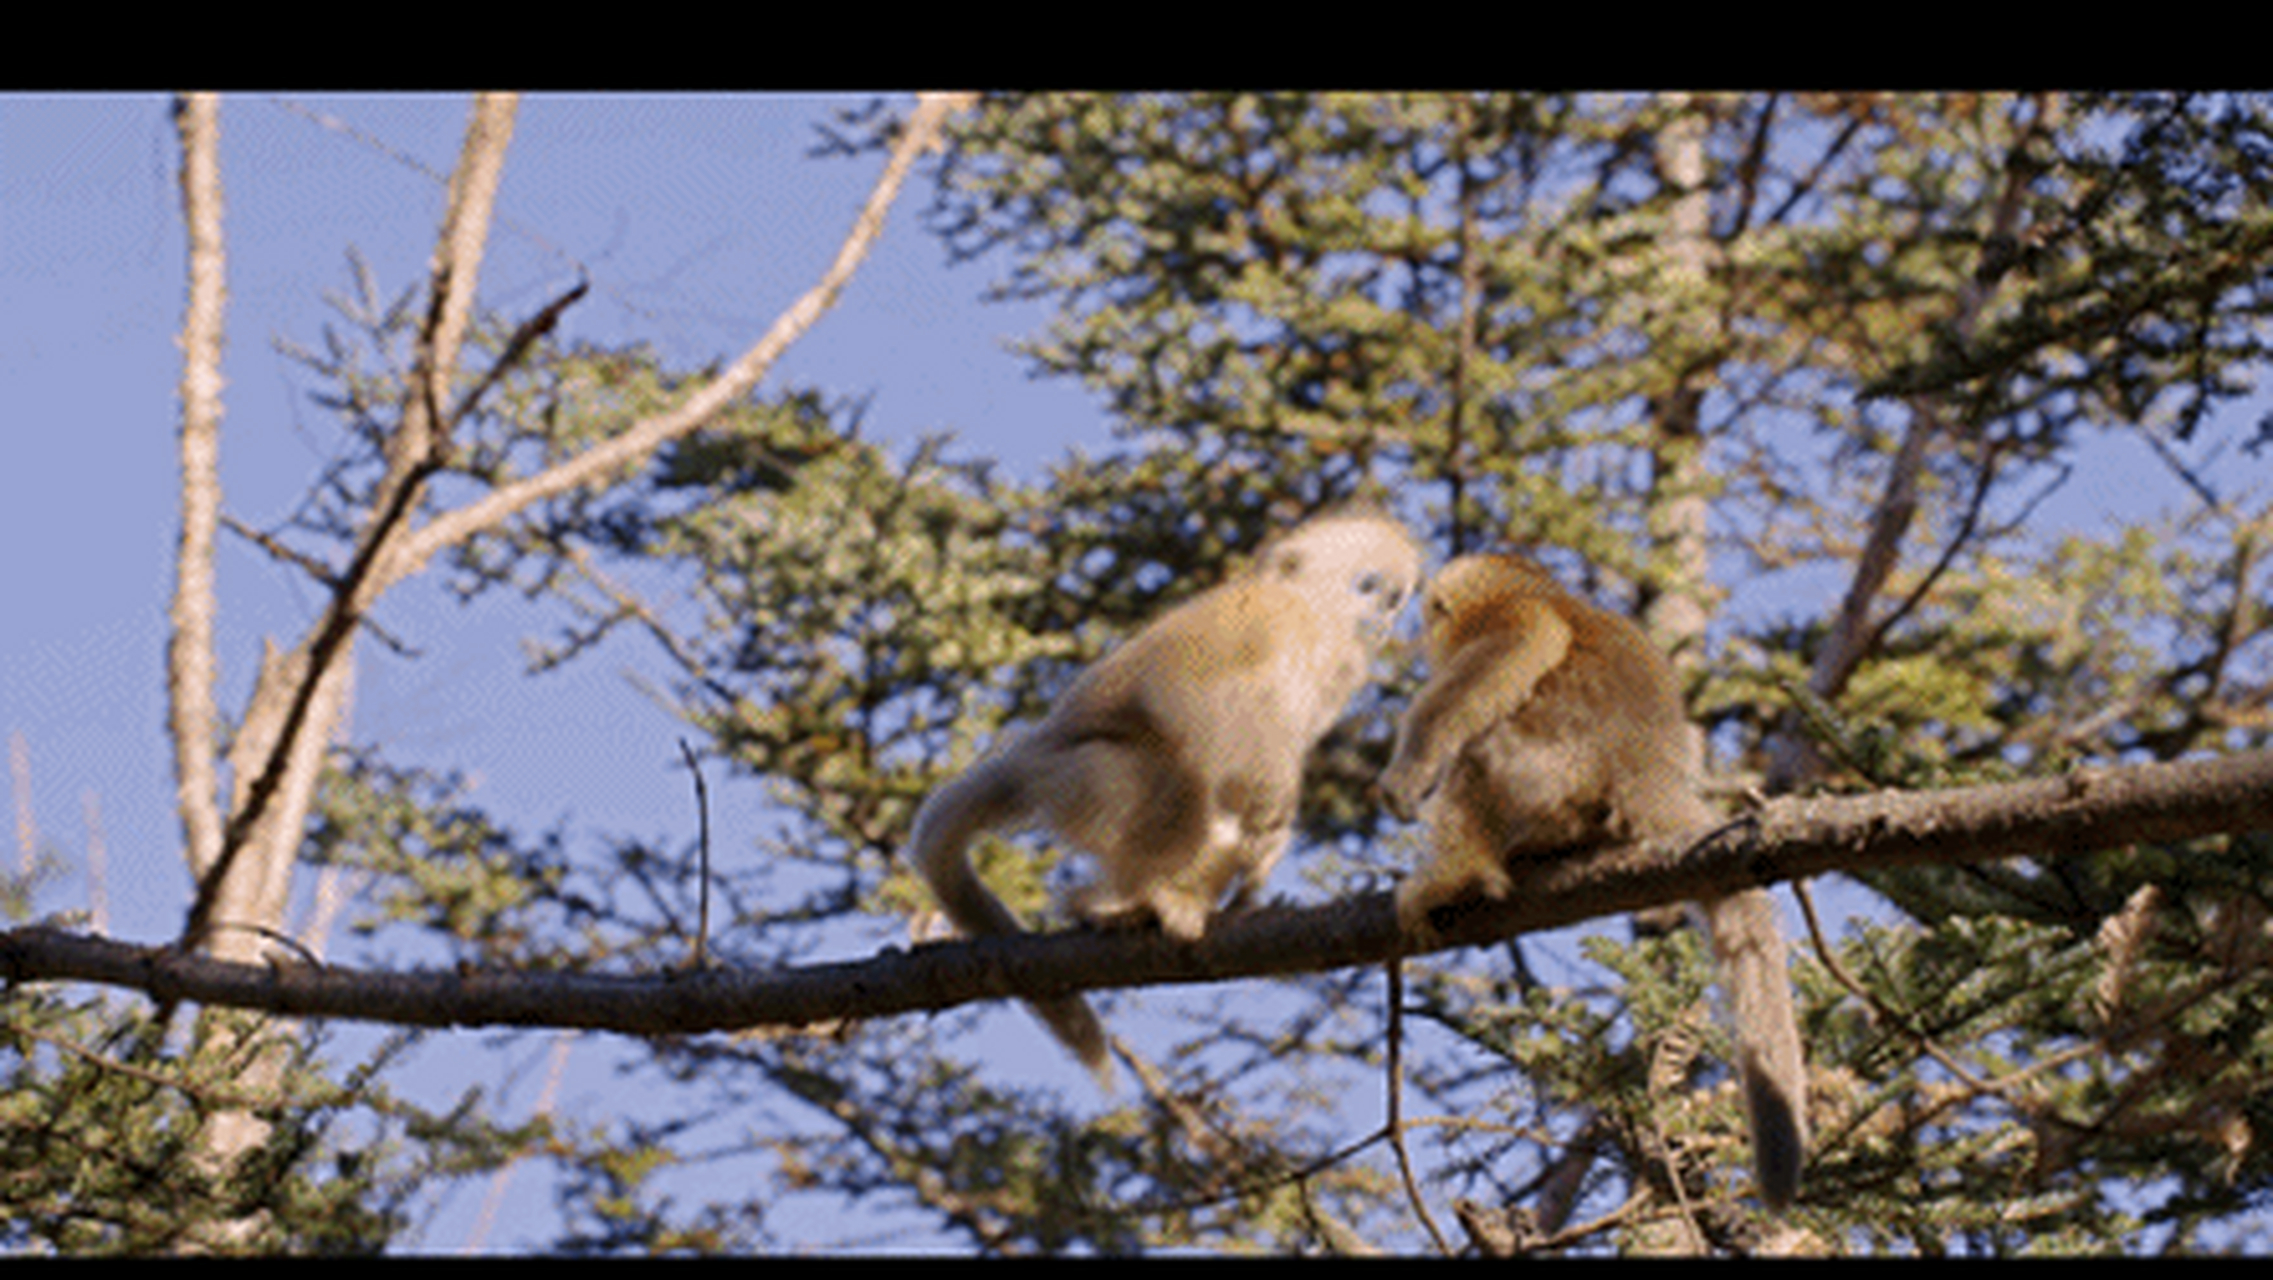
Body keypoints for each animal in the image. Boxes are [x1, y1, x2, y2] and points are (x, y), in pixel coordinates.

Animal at [909, 506, 1418, 1086]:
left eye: (1394, 598)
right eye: (1368, 586)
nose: (1379, 617)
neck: (1314, 613)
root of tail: (1026, 761)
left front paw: (1264, 854)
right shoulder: (1276, 621)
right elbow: (1185, 699)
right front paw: (1271, 811)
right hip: (1074, 779)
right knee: (1181, 779)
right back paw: (1128, 899)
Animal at [1372, 552, 1800, 1209]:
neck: (1549, 591)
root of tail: (1643, 772)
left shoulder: (1511, 615)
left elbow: (1520, 648)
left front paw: (1407, 774)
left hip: (1544, 773)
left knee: (1476, 752)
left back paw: (1459, 876)